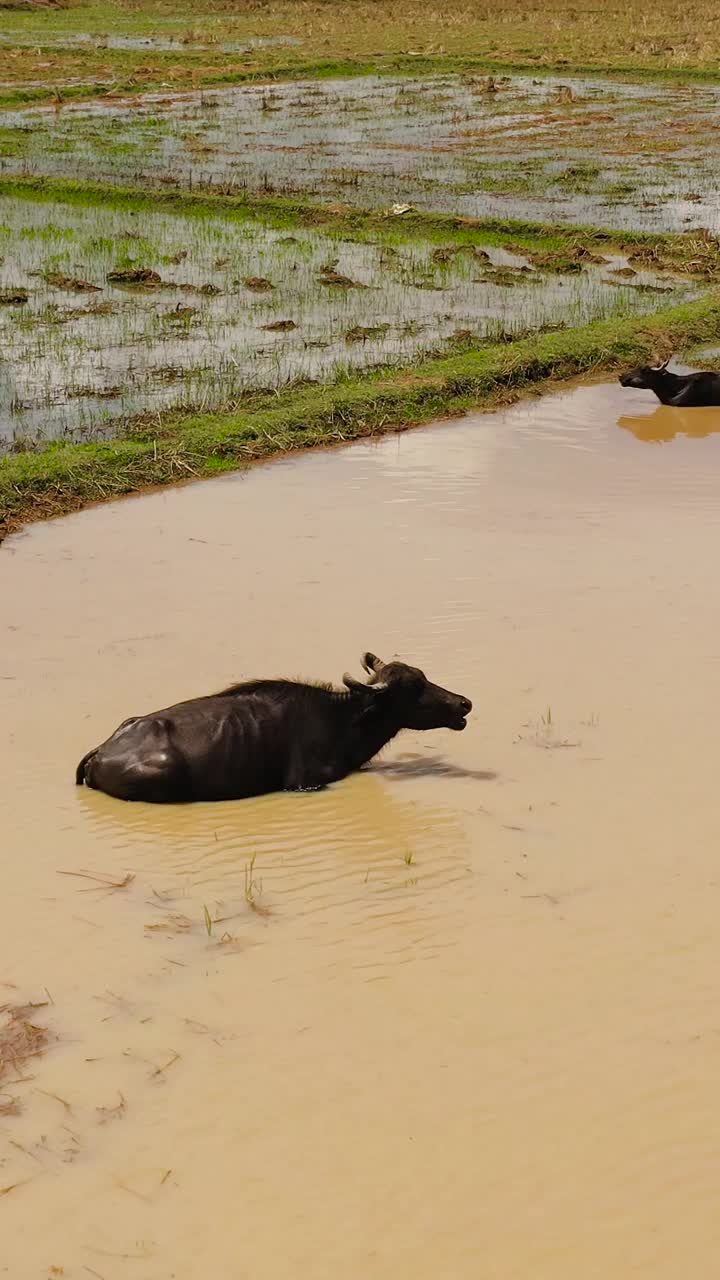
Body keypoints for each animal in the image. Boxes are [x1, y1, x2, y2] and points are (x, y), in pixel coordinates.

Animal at [75, 655, 474, 803]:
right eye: (414, 686)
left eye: (422, 676)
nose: (464, 703)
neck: (341, 720)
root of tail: (102, 751)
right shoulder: (304, 784)